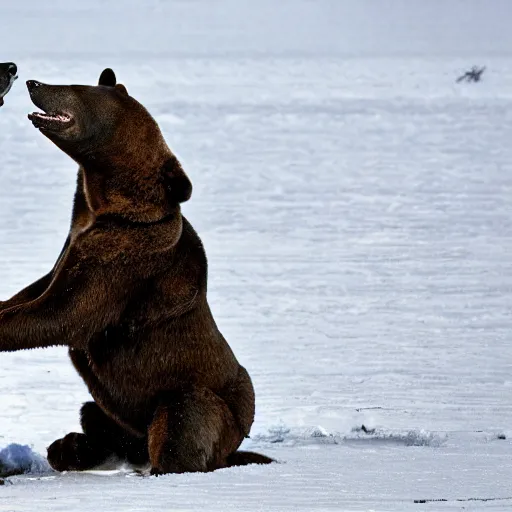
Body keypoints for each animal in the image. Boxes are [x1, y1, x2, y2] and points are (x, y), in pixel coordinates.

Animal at [0, 69, 272, 476]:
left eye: (77, 88)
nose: (34, 83)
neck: (101, 204)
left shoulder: (123, 263)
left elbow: (63, 314)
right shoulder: (73, 245)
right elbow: (36, 293)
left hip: (201, 397)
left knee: (182, 420)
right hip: (120, 418)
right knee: (93, 415)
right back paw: (73, 446)